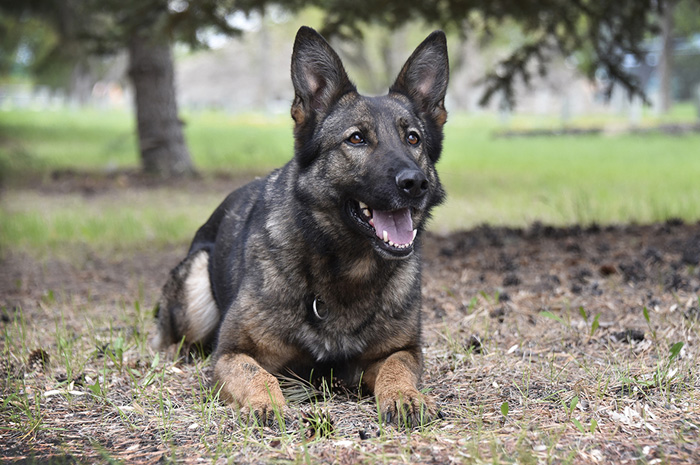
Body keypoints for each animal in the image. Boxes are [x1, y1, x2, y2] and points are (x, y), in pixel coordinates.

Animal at [153, 24, 448, 424]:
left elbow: (395, 368)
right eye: (356, 138)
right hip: (195, 286)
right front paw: (267, 403)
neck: (347, 269)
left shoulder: (403, 350)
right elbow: (256, 374)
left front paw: (406, 396)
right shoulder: (231, 353)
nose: (414, 183)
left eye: (413, 138)